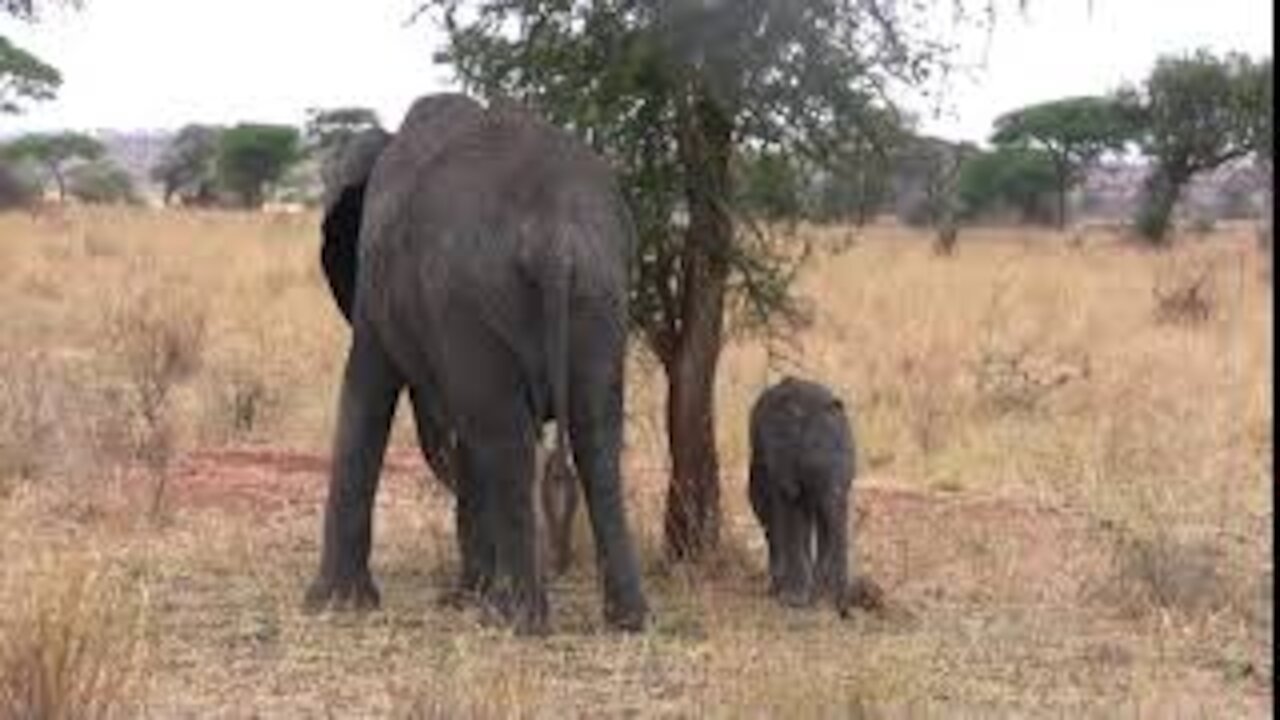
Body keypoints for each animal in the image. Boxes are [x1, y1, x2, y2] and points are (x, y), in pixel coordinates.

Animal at [302, 92, 650, 630]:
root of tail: (552, 235)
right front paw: (468, 597)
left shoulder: (379, 283)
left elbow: (365, 394)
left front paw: (329, 605)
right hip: (602, 287)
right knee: (595, 434)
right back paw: (626, 619)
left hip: (472, 294)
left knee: (505, 438)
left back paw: (516, 620)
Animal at [747, 371, 860, 614]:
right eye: (812, 468)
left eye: (853, 471)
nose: (844, 612)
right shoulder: (782, 463)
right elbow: (790, 511)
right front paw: (796, 600)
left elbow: (825, 519)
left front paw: (816, 596)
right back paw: (779, 588)